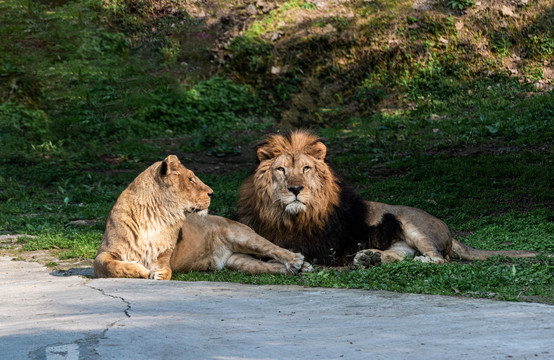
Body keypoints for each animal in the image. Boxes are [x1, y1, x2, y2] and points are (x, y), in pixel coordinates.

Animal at [95, 154, 310, 278]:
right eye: (191, 179)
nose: (212, 193)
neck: (155, 215)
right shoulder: (106, 252)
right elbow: (108, 265)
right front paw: (138, 270)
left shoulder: (164, 256)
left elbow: (165, 270)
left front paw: (154, 273)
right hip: (239, 262)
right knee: (268, 266)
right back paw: (296, 268)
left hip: (244, 236)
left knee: (275, 249)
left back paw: (298, 262)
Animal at [234, 131, 540, 266]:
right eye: (281, 170)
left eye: (306, 168)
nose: (295, 189)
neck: (289, 218)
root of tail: (450, 232)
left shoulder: (323, 249)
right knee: (400, 256)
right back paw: (371, 258)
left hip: (415, 226)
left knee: (439, 259)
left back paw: (414, 261)